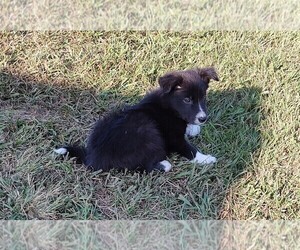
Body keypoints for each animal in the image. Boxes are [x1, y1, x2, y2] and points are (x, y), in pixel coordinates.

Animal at [53, 66, 218, 173]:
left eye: (203, 97)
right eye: (187, 100)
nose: (203, 118)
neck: (169, 106)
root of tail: (92, 157)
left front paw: (193, 127)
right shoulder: (173, 138)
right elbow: (189, 149)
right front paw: (205, 159)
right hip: (148, 130)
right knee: (143, 166)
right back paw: (164, 164)